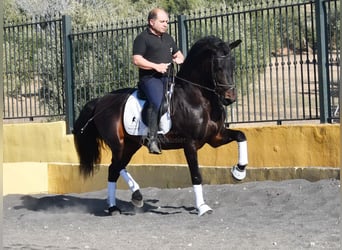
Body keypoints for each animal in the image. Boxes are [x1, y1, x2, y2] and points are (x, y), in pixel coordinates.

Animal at [73, 35, 247, 217]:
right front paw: (203, 207)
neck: (198, 99)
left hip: (131, 145)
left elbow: (241, 136)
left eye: (233, 65)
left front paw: (239, 171)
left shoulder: (215, 137)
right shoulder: (190, 144)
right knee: (114, 167)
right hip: (118, 144)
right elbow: (196, 175)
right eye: (218, 67)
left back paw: (131, 198)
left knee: (116, 168)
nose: (229, 98)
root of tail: (100, 101)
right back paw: (119, 204)